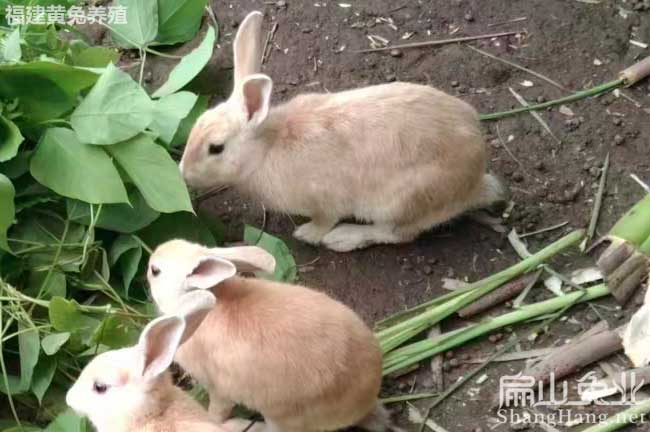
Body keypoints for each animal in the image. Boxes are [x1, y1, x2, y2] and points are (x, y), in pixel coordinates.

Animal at [147, 240, 390, 432]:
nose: (148, 265)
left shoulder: (217, 389)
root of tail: (366, 401)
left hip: (282, 417)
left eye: (155, 271)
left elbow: (217, 411)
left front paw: (212, 420)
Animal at [180, 11, 504, 253]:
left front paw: (308, 234)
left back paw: (343, 238)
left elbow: (324, 219)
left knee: (395, 233)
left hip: (403, 201)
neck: (266, 148)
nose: (183, 173)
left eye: (216, 148)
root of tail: (475, 181)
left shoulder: (324, 201)